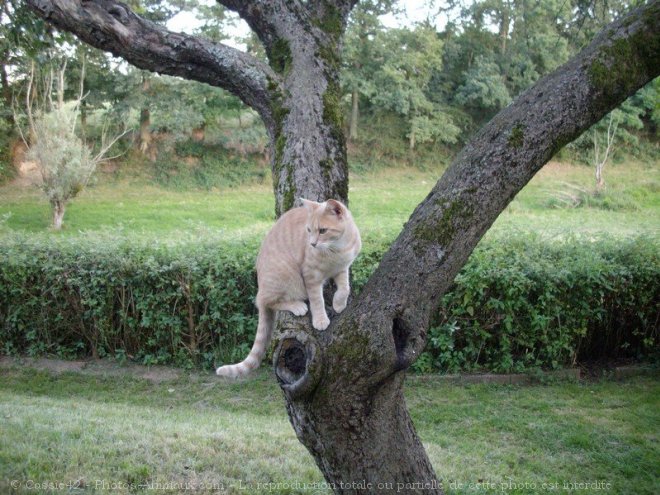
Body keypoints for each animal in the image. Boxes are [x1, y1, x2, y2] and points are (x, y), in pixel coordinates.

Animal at [217, 200, 360, 378]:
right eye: (309, 230)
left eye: (323, 230)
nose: (312, 244)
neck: (338, 249)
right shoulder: (311, 276)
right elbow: (317, 300)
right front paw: (320, 319)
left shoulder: (342, 269)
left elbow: (345, 288)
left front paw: (339, 304)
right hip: (286, 275)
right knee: (268, 301)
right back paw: (297, 306)